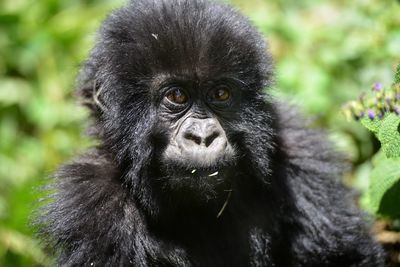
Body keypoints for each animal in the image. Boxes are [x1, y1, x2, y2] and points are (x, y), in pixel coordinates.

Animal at [37, 0, 384, 267]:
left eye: (220, 94)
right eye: (177, 96)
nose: (203, 136)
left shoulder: (300, 152)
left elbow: (344, 257)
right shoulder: (89, 202)